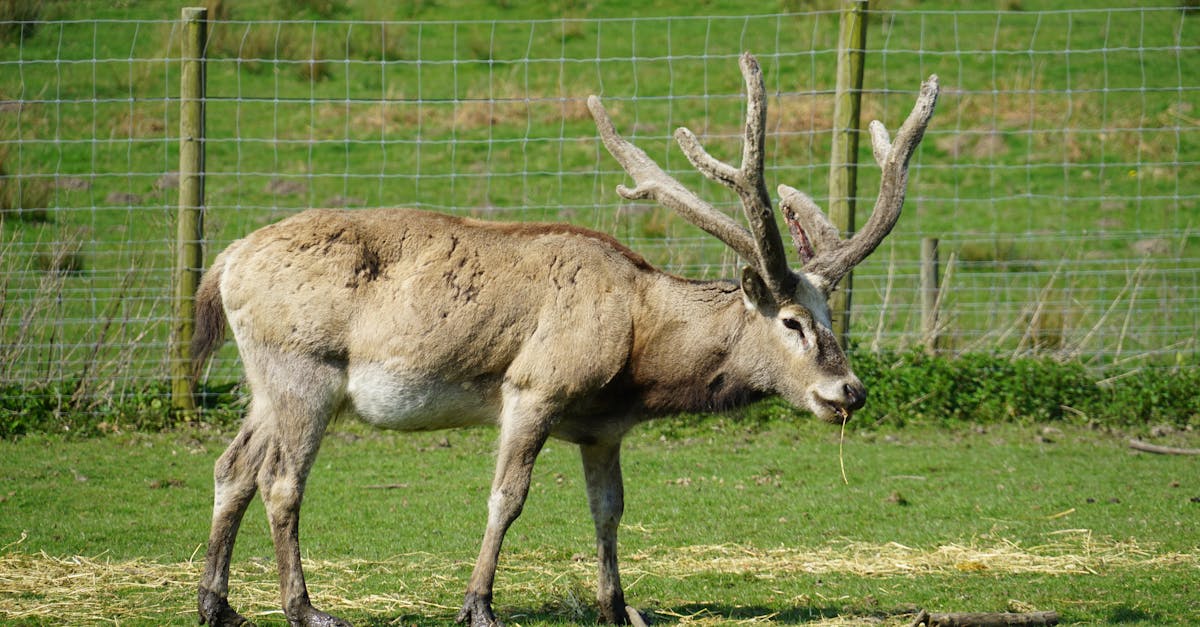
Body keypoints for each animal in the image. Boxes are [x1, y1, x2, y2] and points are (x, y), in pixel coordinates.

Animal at [189, 53, 936, 624]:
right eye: (791, 322)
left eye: (831, 316)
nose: (849, 391)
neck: (636, 356)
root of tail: (224, 263)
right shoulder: (533, 387)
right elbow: (506, 496)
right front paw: (478, 604)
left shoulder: (602, 428)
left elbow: (609, 510)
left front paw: (619, 606)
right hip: (304, 371)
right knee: (282, 479)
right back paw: (305, 607)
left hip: (263, 381)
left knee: (232, 466)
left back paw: (217, 603)